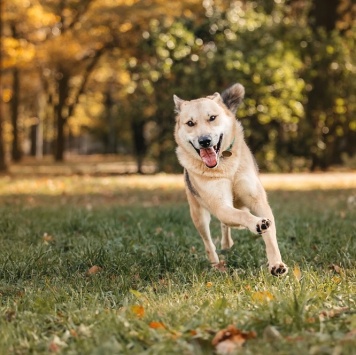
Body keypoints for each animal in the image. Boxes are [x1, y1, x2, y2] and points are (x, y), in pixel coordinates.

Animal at [174, 84, 288, 278]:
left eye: (212, 118)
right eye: (190, 123)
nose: (205, 141)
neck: (225, 165)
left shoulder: (258, 201)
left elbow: (270, 234)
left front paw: (276, 264)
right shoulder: (220, 205)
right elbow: (242, 216)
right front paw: (257, 223)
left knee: (226, 224)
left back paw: (227, 245)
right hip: (198, 215)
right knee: (209, 242)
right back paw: (216, 265)